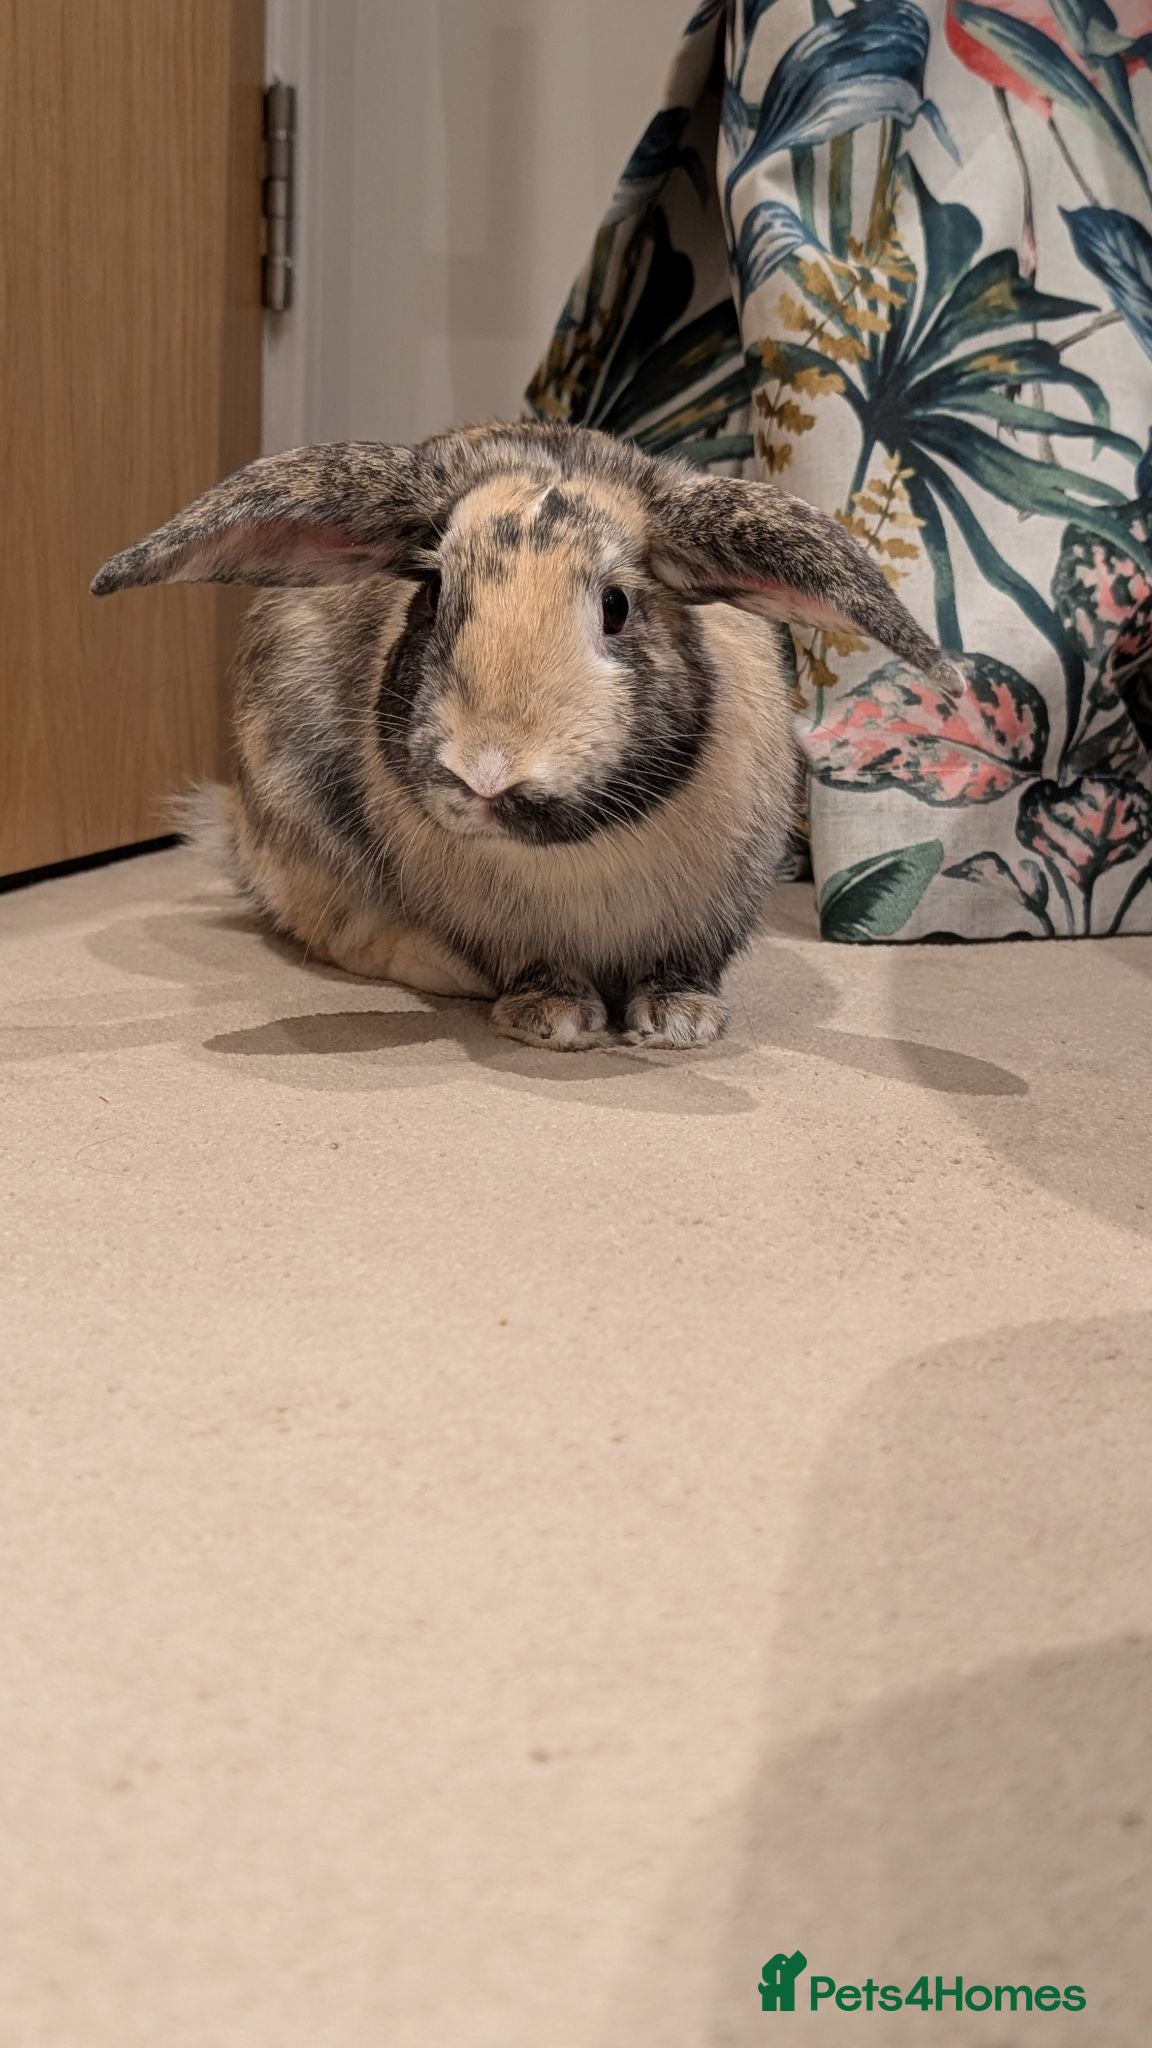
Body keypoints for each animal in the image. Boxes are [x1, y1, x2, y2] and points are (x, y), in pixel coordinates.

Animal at [92, 421, 960, 1050]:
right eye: (434, 592)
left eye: (617, 606)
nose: (486, 773)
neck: (580, 854)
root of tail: (234, 829)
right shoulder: (508, 930)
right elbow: (538, 968)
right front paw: (555, 1022)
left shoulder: (708, 914)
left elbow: (683, 968)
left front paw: (679, 1024)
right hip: (295, 810)